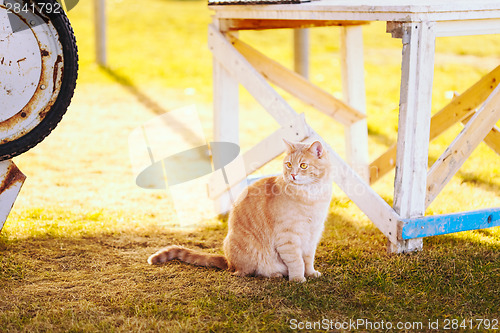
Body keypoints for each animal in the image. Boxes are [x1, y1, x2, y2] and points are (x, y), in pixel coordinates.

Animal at [149, 139, 336, 282]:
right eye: (289, 164)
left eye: (303, 165)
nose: (293, 175)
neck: (313, 196)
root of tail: (228, 261)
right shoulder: (288, 238)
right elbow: (297, 261)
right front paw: (298, 279)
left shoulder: (313, 235)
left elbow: (308, 259)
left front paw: (310, 273)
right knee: (247, 273)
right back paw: (275, 274)